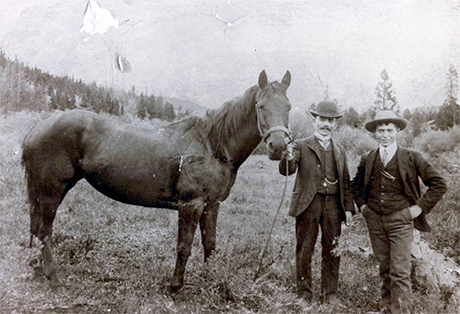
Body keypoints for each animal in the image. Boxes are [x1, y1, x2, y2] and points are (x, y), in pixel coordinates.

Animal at [21, 70, 292, 290]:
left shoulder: (212, 204)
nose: (278, 146)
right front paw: (175, 286)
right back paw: (54, 277)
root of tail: (36, 129)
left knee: (35, 228)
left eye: (288, 107)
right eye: (261, 106)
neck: (212, 144)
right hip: (52, 191)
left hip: (44, 192)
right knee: (44, 232)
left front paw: (209, 279)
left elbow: (210, 244)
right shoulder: (191, 204)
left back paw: (38, 271)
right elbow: (184, 246)